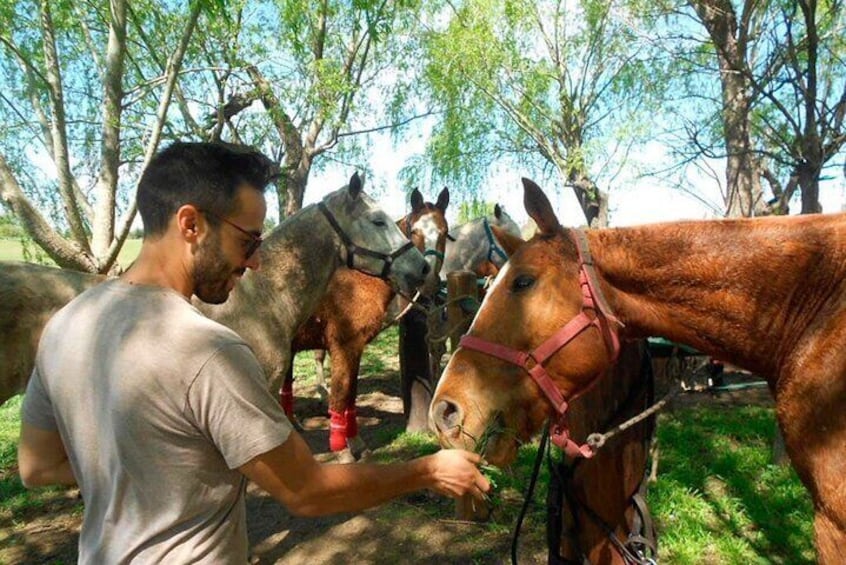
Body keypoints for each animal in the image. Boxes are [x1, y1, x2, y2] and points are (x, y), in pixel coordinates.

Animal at [286, 187, 450, 456]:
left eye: (445, 232)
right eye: (414, 230)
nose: (428, 280)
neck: (359, 279)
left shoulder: (356, 347)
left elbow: (350, 396)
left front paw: (357, 444)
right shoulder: (343, 345)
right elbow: (340, 396)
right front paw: (343, 451)